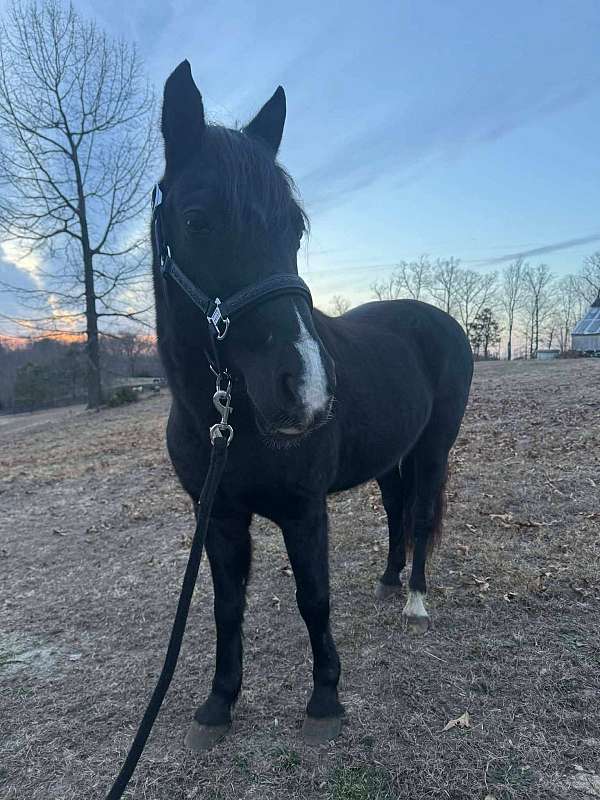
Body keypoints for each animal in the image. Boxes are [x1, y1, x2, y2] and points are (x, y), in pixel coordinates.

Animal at [152, 60, 473, 750]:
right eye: (196, 220)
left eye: (293, 228)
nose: (308, 388)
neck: (227, 424)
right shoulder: (219, 518)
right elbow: (226, 606)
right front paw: (219, 703)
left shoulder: (303, 512)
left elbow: (313, 598)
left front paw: (325, 698)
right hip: (390, 455)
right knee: (398, 511)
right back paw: (387, 582)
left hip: (434, 448)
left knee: (420, 511)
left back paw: (414, 599)